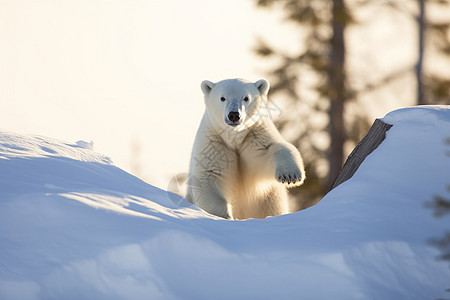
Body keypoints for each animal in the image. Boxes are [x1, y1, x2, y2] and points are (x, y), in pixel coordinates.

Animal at [186, 78, 306, 219]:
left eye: (246, 98)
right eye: (222, 98)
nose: (234, 115)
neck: (234, 137)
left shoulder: (254, 137)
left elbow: (272, 149)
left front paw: (290, 176)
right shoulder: (214, 144)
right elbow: (207, 177)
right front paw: (226, 216)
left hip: (269, 202)